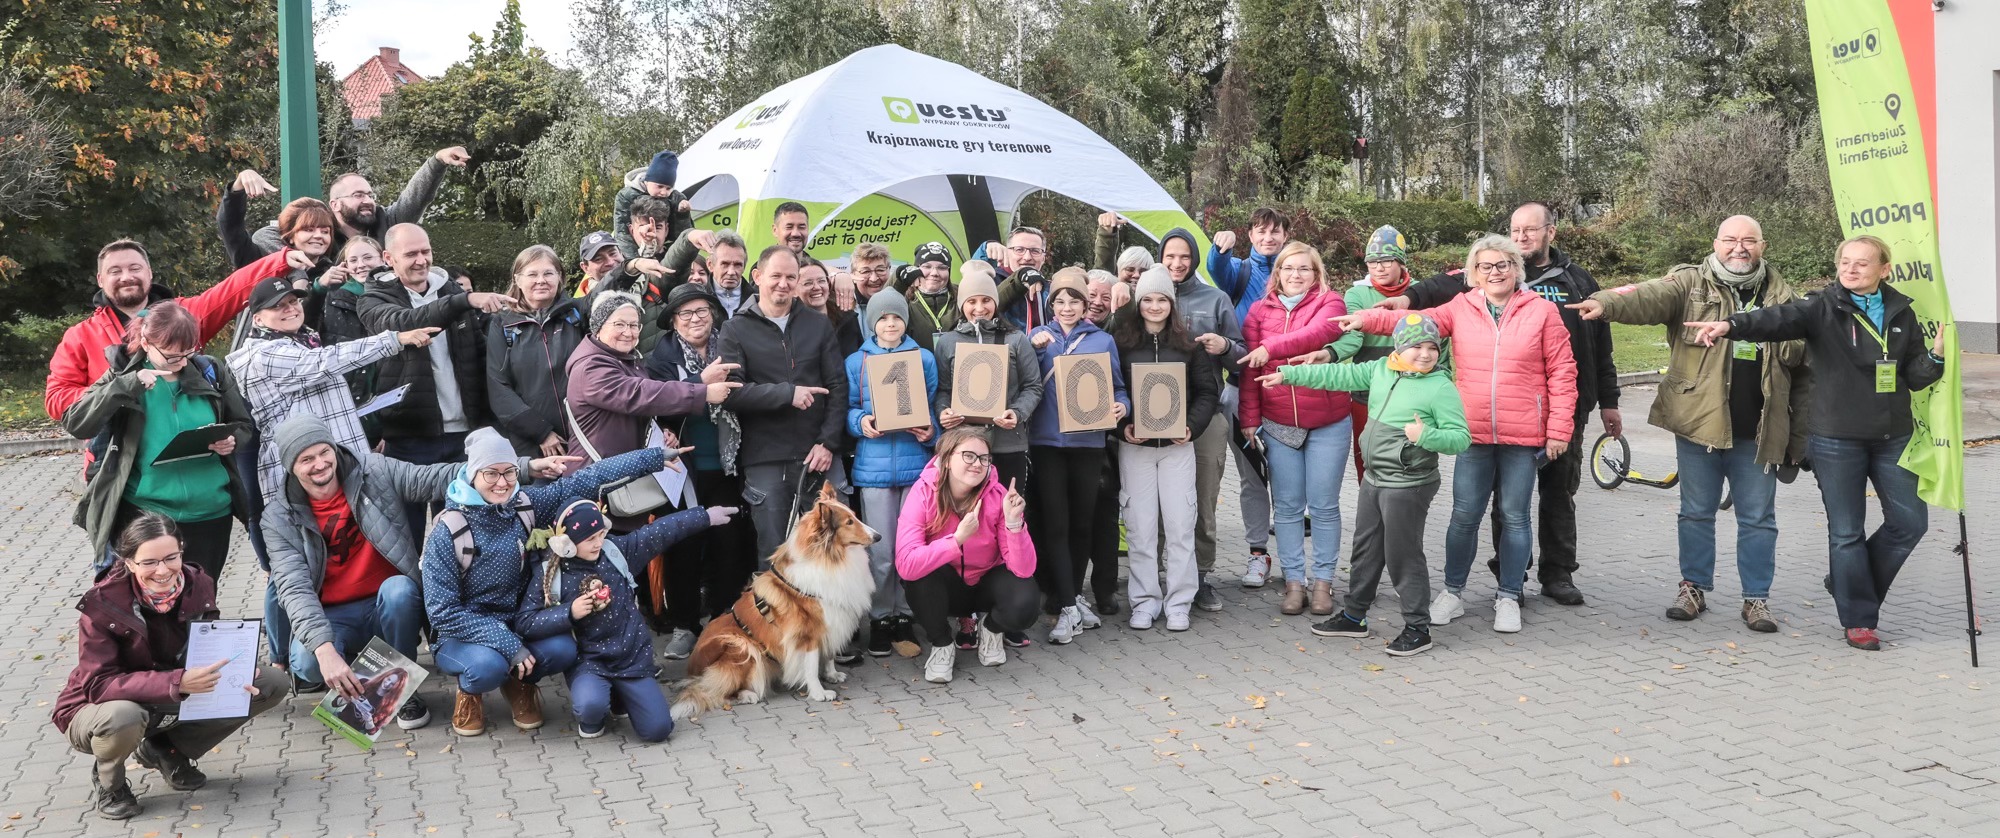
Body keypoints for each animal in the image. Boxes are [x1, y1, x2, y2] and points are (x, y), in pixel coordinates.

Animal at [672, 480, 876, 720]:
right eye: (849, 522)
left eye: (854, 516)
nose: (878, 536)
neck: (830, 558)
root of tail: (692, 672)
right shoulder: (807, 632)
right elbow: (810, 665)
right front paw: (819, 692)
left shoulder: (831, 622)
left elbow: (828, 655)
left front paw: (832, 674)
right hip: (742, 646)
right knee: (716, 689)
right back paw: (746, 695)